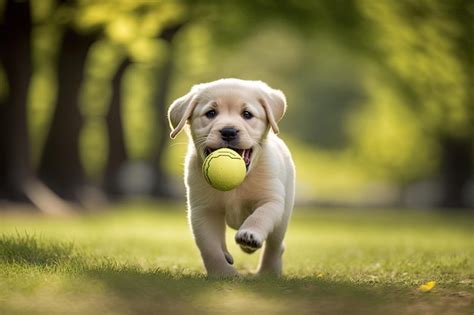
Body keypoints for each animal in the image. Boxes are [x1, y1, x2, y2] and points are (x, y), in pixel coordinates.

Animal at [167, 79, 292, 278]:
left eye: (247, 114)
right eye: (211, 113)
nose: (228, 131)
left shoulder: (272, 200)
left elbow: (260, 217)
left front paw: (249, 236)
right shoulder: (203, 210)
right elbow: (209, 247)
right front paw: (223, 273)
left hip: (284, 214)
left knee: (274, 245)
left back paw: (268, 272)